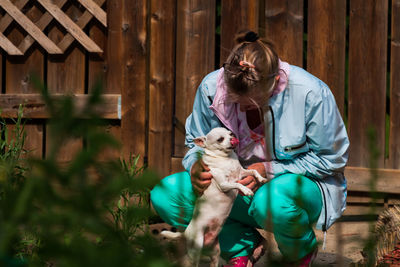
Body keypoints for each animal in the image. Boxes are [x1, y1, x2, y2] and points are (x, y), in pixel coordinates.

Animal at [161, 127, 270, 267]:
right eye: (220, 139)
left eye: (230, 133)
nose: (233, 138)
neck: (227, 159)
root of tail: (186, 232)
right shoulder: (224, 184)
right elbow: (236, 184)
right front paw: (246, 190)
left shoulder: (242, 173)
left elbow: (253, 171)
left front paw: (261, 178)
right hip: (196, 249)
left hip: (215, 252)